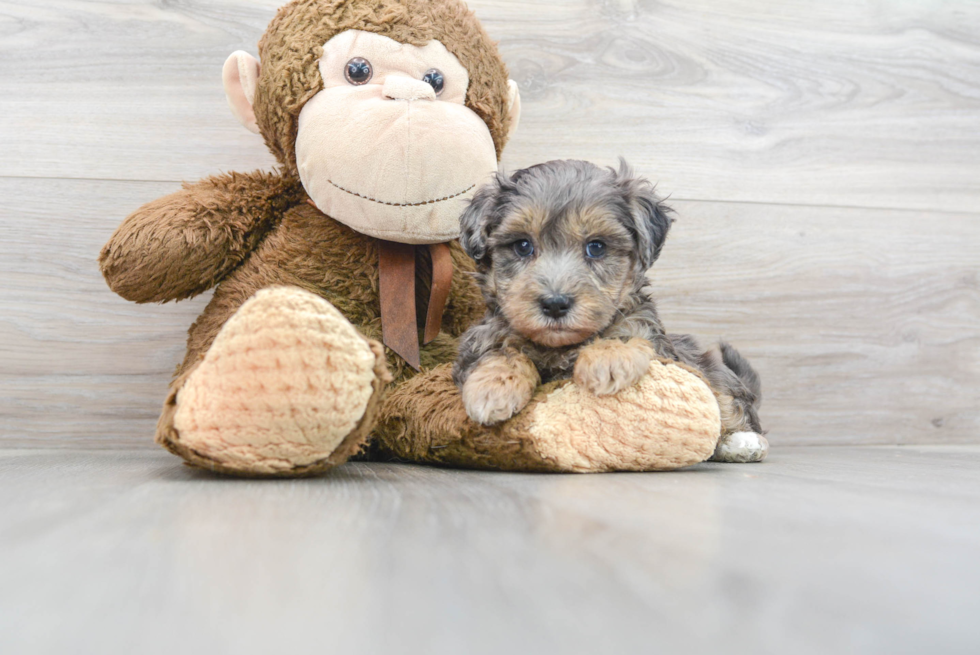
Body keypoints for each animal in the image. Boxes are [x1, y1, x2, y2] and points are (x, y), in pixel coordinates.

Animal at [450, 160, 764, 464]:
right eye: (523, 246)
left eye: (596, 247)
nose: (555, 304)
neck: (561, 348)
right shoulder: (486, 334)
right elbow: (501, 352)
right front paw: (493, 389)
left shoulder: (651, 339)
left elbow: (626, 335)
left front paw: (608, 359)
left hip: (709, 367)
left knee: (728, 400)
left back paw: (742, 442)